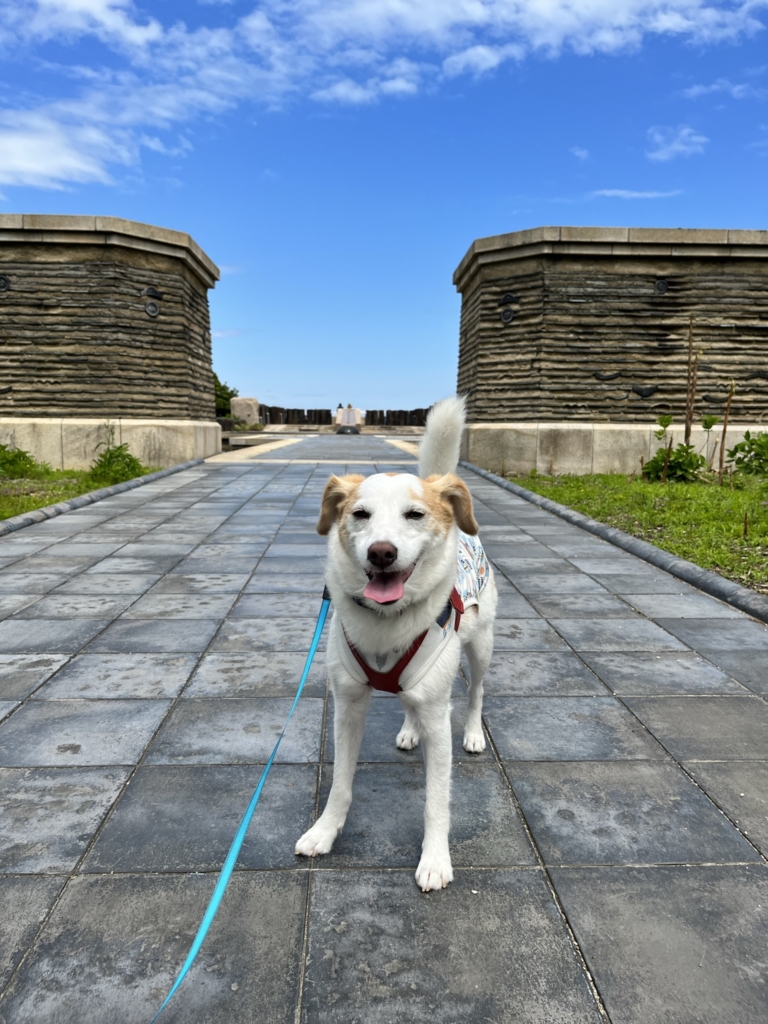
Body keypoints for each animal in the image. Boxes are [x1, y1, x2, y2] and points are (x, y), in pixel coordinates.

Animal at [294, 395, 499, 892]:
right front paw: (324, 831)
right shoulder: (347, 704)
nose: (381, 552)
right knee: (407, 700)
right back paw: (409, 730)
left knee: (477, 690)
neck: (387, 621)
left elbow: (436, 800)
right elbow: (340, 783)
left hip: (481, 646)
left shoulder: (437, 715)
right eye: (359, 515)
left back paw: (473, 733)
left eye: (415, 515)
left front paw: (435, 860)